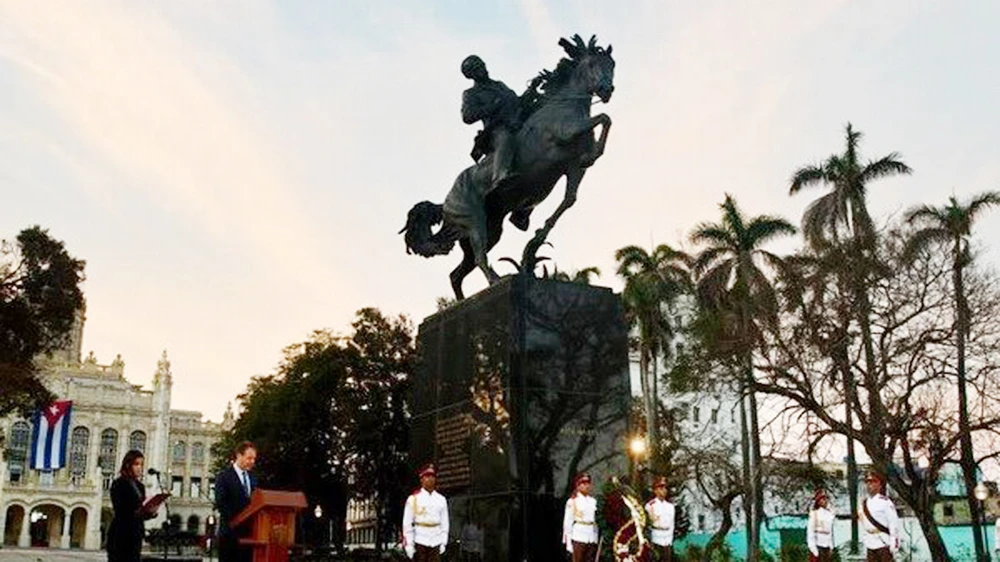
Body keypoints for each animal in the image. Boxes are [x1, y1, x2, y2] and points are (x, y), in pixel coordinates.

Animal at [402, 34, 612, 298]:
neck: (564, 105)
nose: (607, 90)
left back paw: (462, 301)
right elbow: (604, 117)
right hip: (474, 222)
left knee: (456, 274)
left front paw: (533, 245)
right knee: (479, 257)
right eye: (593, 64)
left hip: (488, 230)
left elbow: (569, 200)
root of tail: (444, 203)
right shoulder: (565, 134)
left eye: (612, 65)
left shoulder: (573, 168)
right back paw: (495, 281)